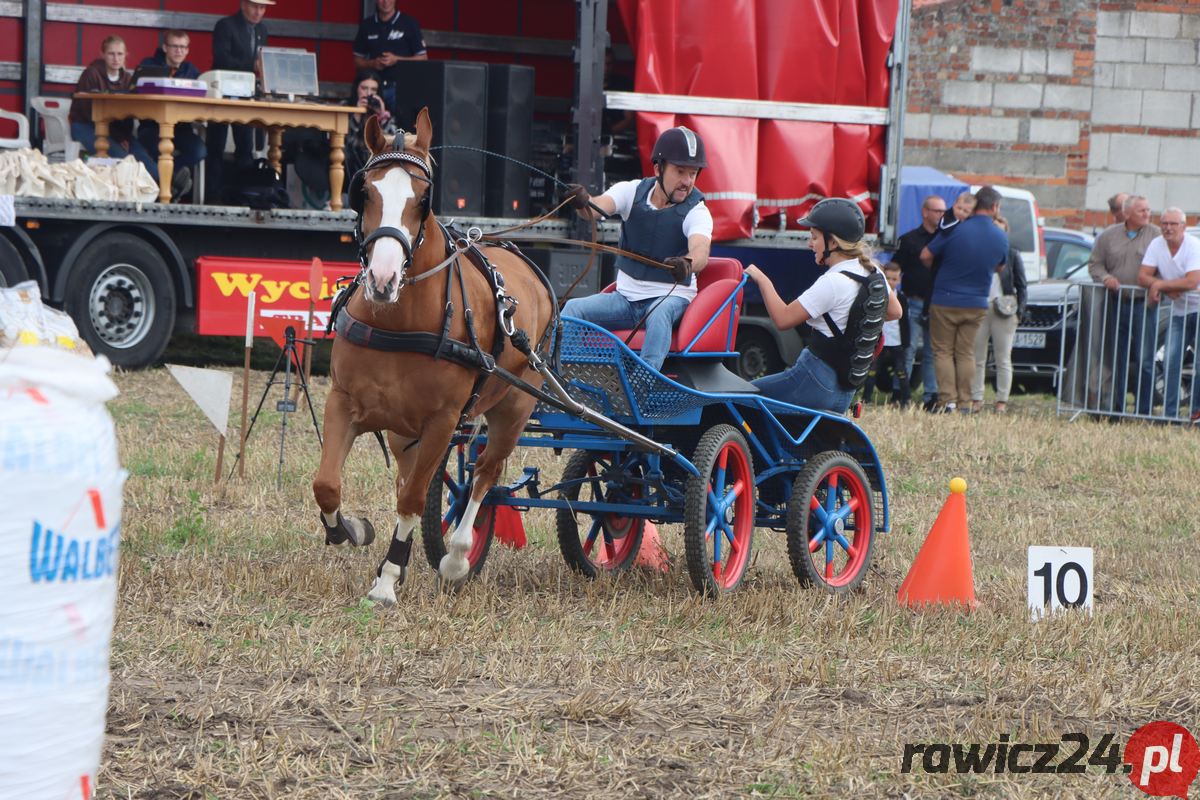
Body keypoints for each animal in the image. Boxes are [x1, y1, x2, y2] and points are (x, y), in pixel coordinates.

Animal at [309, 110, 552, 599]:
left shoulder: (442, 421)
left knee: (485, 473)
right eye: (365, 192)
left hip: (514, 408)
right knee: (416, 473)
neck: (399, 321)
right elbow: (327, 485)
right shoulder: (343, 401)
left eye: (424, 198)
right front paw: (351, 530)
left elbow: (413, 499)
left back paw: (457, 557)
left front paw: (386, 581)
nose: (382, 279)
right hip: (403, 430)